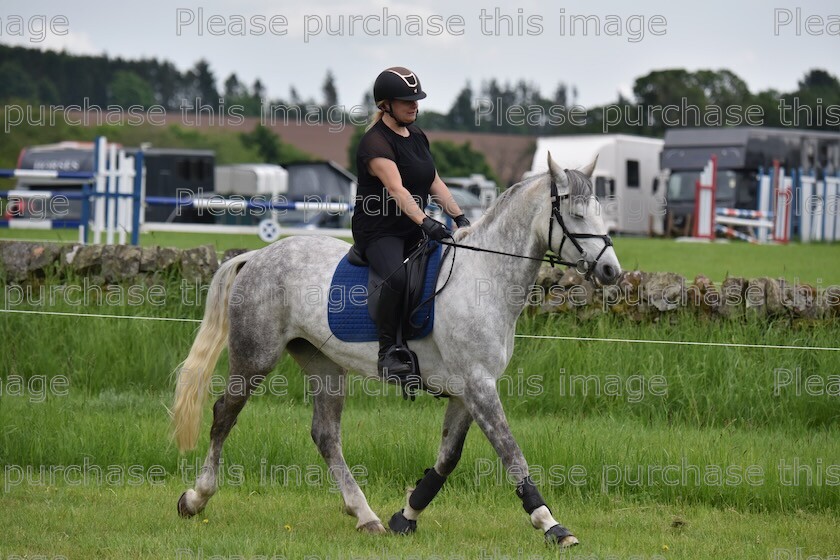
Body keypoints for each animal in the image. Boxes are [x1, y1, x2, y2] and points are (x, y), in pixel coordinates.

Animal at [172, 153, 616, 548]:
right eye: (576, 215)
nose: (612, 271)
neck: (485, 278)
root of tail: (256, 256)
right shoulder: (478, 386)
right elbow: (511, 453)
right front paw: (551, 525)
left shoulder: (467, 390)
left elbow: (447, 458)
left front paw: (406, 515)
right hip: (256, 357)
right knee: (224, 415)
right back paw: (196, 498)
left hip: (324, 363)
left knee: (325, 435)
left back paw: (366, 516)